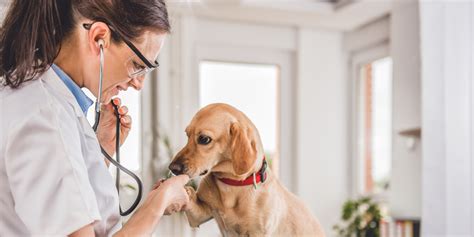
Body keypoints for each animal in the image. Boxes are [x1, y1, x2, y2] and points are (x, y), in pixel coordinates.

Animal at [168, 103, 326, 237]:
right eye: (187, 135)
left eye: (204, 139)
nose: (172, 168)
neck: (231, 184)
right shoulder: (199, 215)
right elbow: (190, 196)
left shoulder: (257, 233)